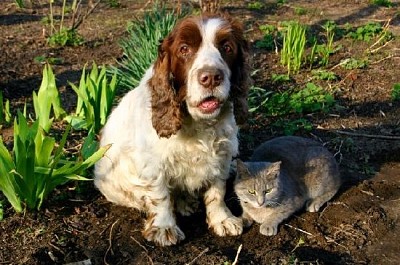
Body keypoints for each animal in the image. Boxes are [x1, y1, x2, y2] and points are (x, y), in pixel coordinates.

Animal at [95, 13, 248, 245]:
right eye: (184, 49)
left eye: (227, 47)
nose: (211, 77)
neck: (198, 124)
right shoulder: (153, 162)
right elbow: (160, 195)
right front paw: (164, 228)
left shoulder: (222, 153)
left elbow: (217, 190)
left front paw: (223, 220)